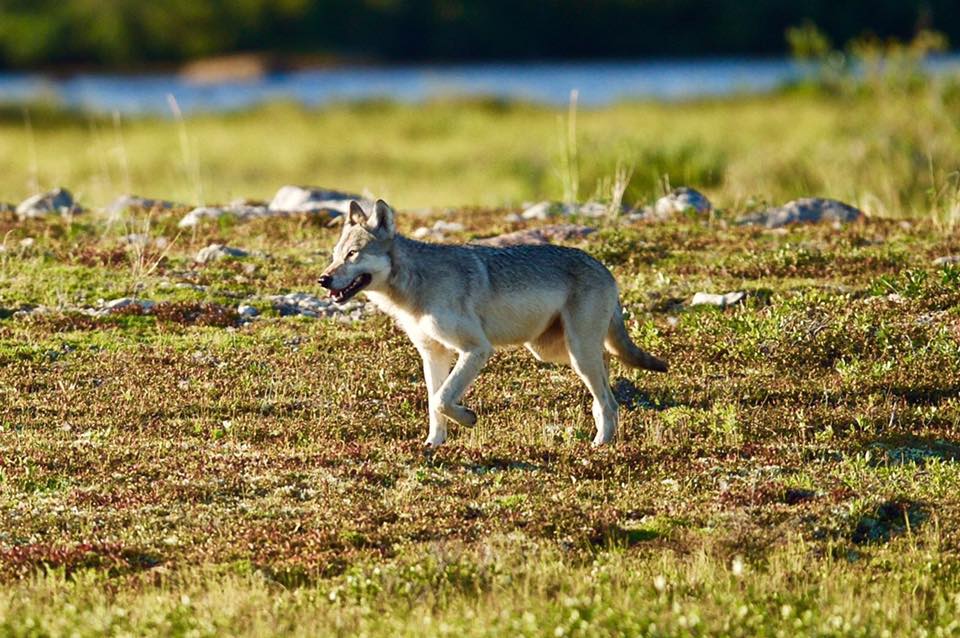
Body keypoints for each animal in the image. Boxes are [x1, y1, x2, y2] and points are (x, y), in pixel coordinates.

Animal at [318, 199, 667, 447]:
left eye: (353, 254)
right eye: (335, 255)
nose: (323, 279)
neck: (415, 285)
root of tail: (605, 268)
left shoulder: (476, 349)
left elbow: (443, 399)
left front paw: (468, 419)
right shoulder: (433, 354)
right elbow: (434, 402)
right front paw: (433, 444)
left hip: (576, 352)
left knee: (608, 398)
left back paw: (601, 443)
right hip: (554, 351)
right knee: (606, 378)